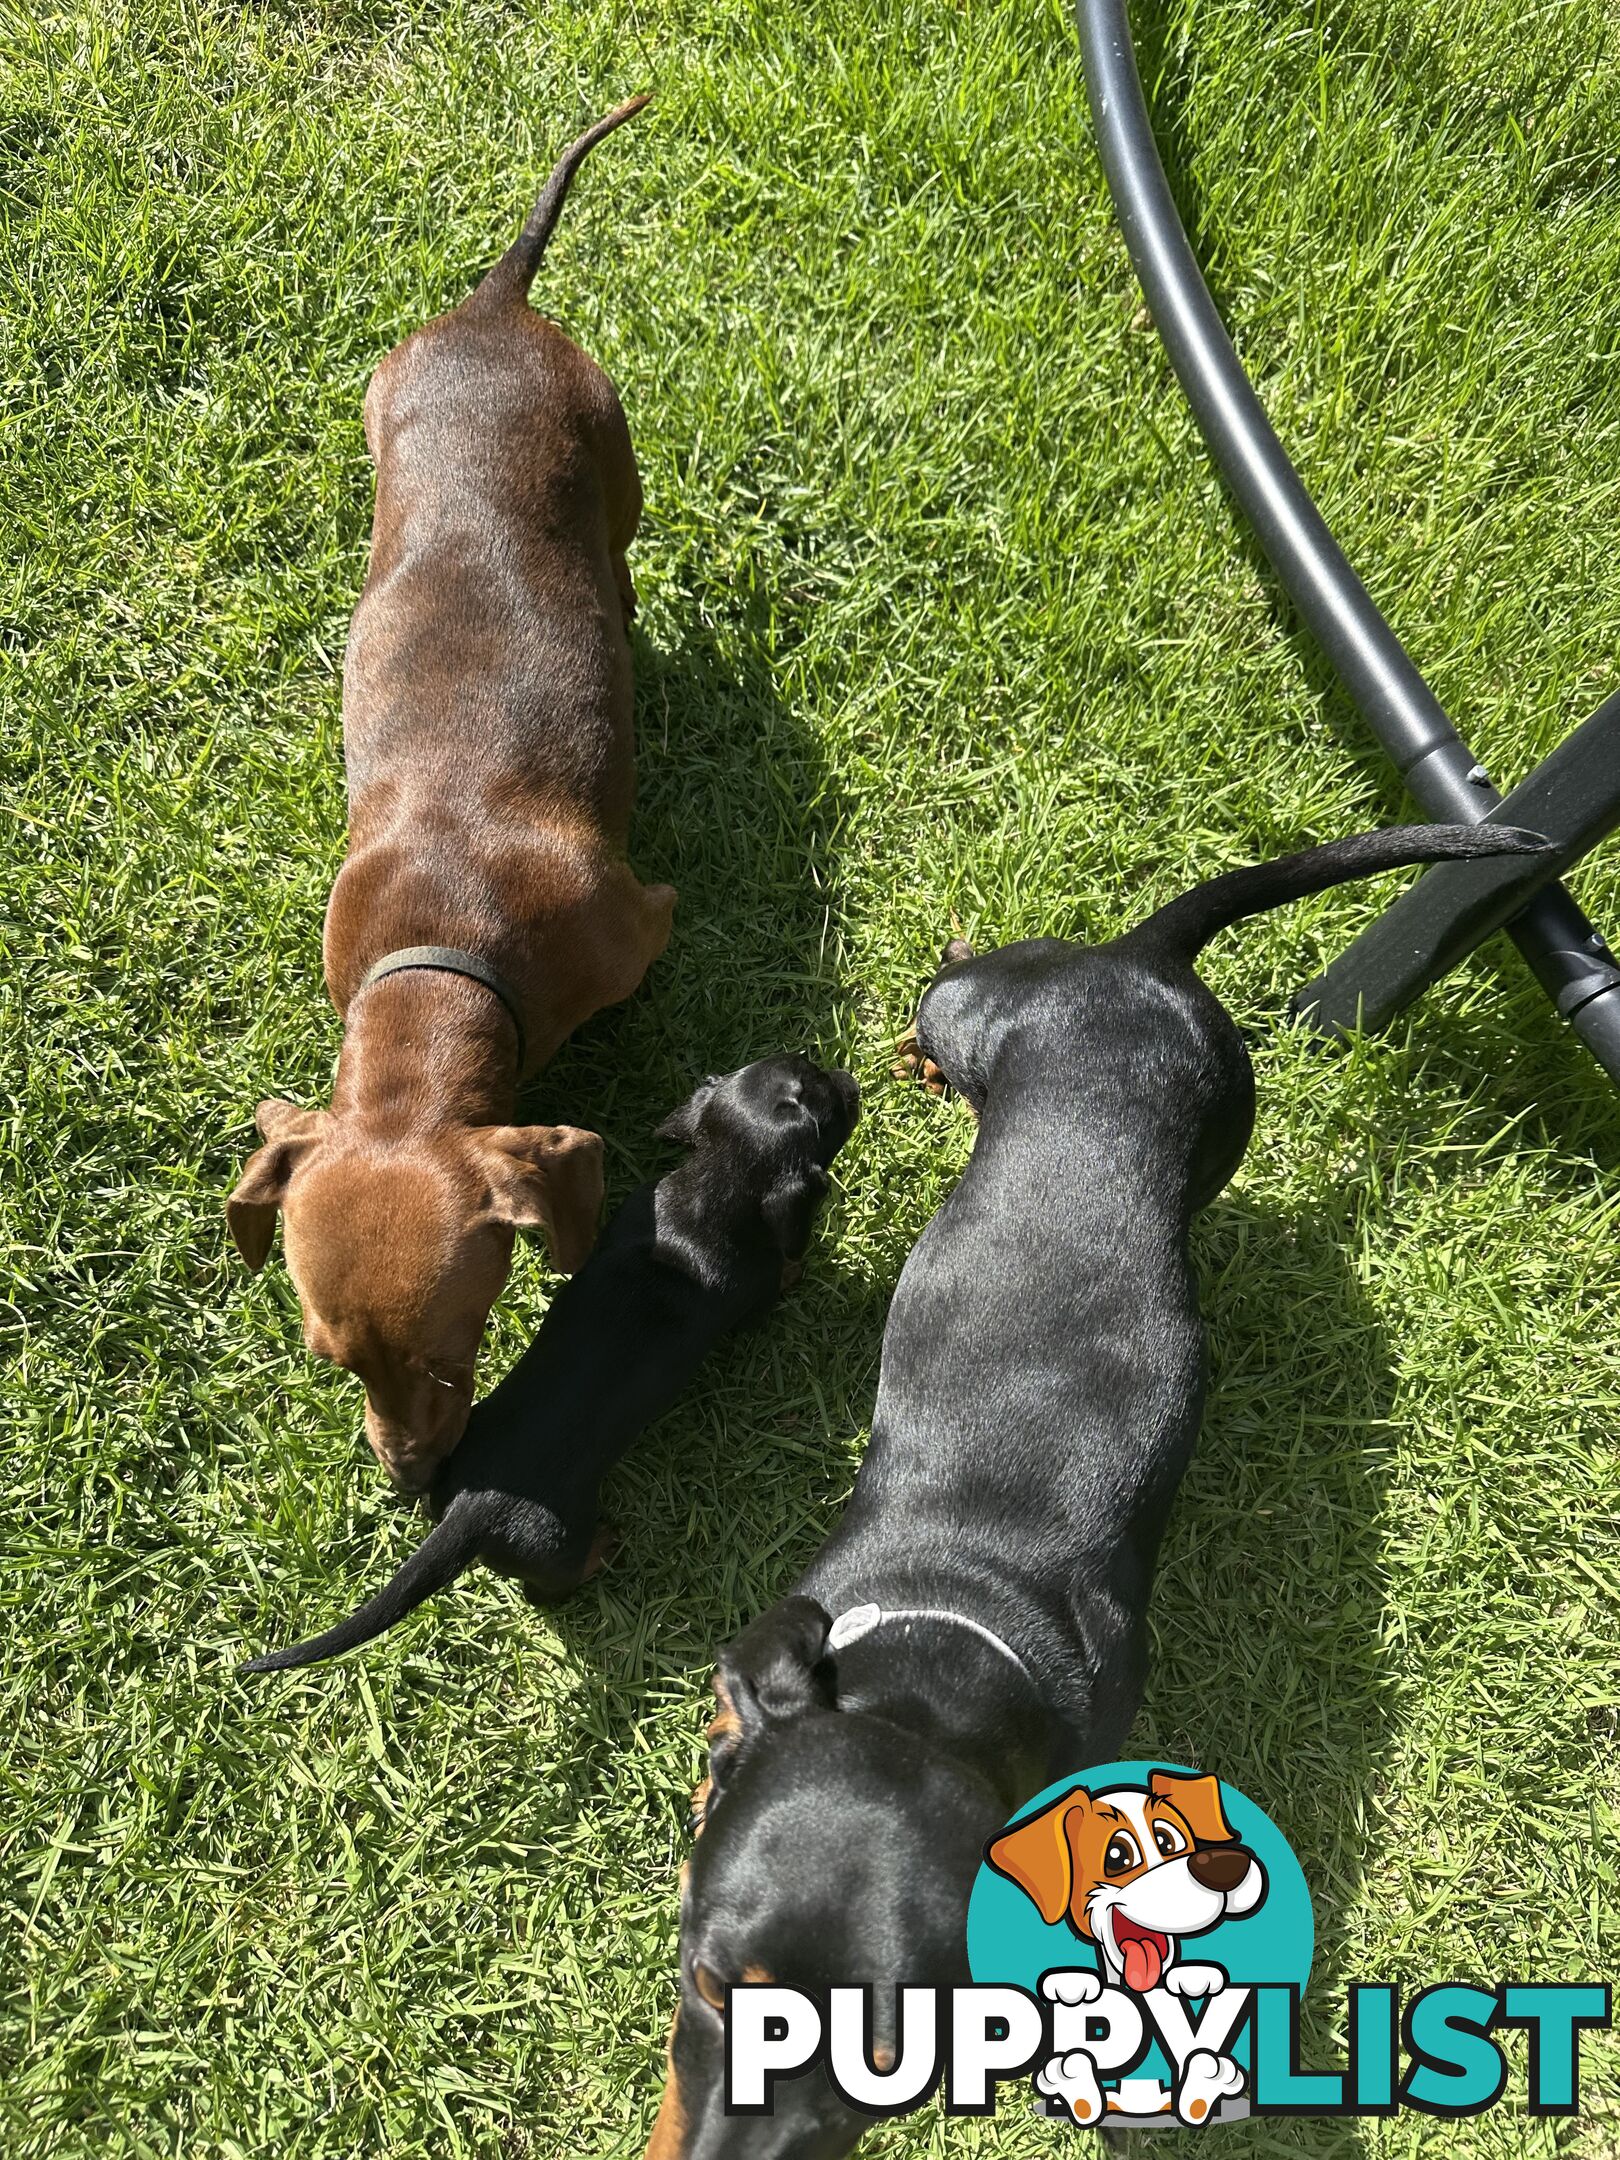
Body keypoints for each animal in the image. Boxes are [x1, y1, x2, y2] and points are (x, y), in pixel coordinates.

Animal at [243, 1054, 864, 1676]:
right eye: (829, 1099)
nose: (849, 1077)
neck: (707, 1192)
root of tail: (471, 1510)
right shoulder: (753, 1294)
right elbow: (778, 1278)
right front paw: (799, 1267)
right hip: (555, 1543)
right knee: (548, 1588)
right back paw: (601, 1550)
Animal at [652, 816, 1546, 2151]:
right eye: (711, 1984)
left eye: (888, 2067)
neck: (940, 1659)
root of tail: (1142, 962)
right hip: (985, 1015)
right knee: (944, 1004)